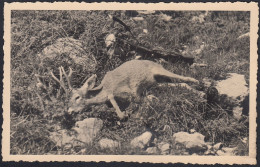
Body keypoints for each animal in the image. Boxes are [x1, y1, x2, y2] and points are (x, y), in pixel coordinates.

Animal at [51, 59, 201, 119]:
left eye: (77, 97)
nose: (69, 111)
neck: (104, 87)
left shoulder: (129, 90)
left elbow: (120, 105)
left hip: (159, 71)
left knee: (186, 78)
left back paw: (199, 86)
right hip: (156, 82)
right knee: (180, 84)